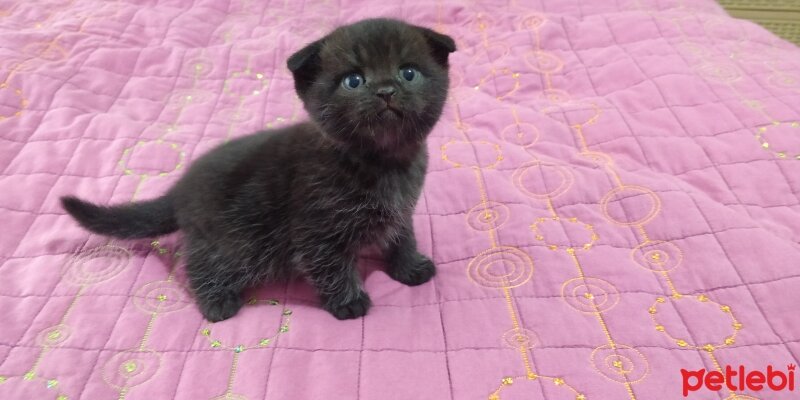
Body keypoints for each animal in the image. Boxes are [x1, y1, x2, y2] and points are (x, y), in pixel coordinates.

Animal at [59, 18, 454, 322]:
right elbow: (330, 265)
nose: (386, 90)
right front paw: (348, 300)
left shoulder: (401, 211)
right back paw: (216, 302)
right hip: (232, 240)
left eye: (408, 73)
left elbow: (402, 237)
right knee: (199, 261)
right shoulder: (316, 228)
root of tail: (180, 189)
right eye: (353, 81)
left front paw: (410, 267)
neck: (384, 161)